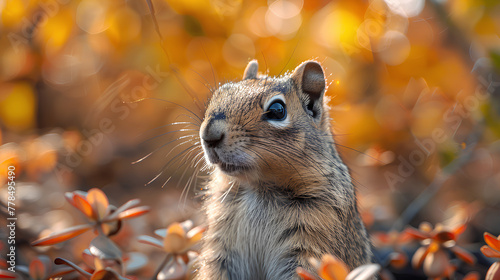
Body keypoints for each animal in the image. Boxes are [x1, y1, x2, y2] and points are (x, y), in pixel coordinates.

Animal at [193, 60, 374, 278]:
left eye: (278, 110)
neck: (260, 187)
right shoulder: (221, 245)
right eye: (218, 94)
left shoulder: (315, 240)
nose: (209, 135)